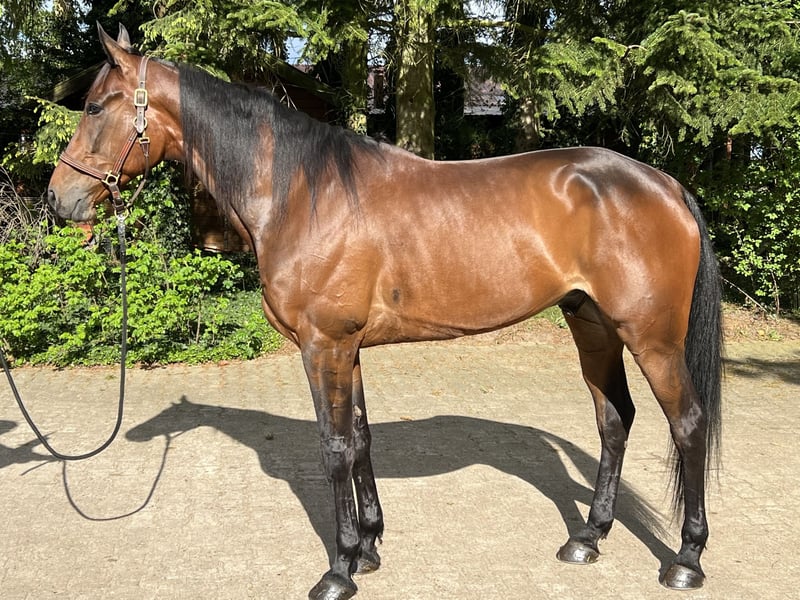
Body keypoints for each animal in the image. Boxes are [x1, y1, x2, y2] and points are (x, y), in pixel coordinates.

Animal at [47, 24, 723, 600]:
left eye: (96, 108)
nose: (59, 199)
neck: (301, 193)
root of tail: (666, 184)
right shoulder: (347, 348)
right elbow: (361, 439)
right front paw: (369, 548)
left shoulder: (323, 346)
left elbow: (333, 448)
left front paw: (338, 569)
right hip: (592, 326)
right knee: (615, 420)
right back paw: (588, 537)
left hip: (653, 339)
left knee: (687, 424)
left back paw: (686, 560)